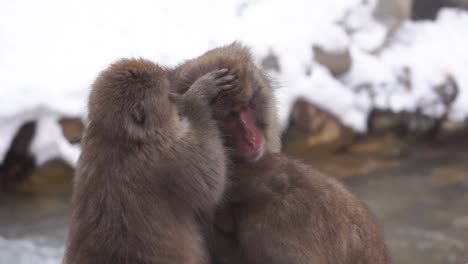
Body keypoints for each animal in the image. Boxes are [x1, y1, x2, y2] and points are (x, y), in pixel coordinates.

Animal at [64, 58, 236, 264]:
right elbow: (211, 180)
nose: (177, 98)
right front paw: (198, 95)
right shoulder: (168, 156)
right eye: (168, 97)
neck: (120, 139)